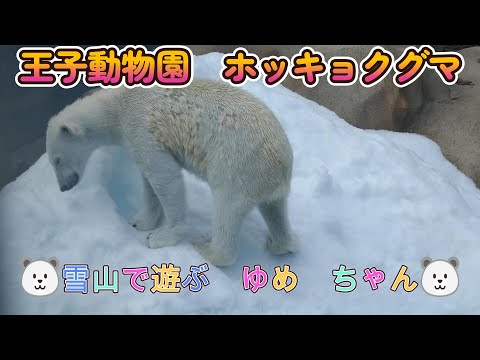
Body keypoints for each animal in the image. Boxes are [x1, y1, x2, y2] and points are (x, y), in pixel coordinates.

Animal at [46, 79, 300, 264]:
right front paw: (140, 221)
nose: (63, 187)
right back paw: (280, 244)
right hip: (264, 179)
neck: (117, 107)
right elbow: (148, 179)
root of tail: (282, 161)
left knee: (227, 208)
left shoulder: (141, 128)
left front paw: (159, 237)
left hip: (238, 165)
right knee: (275, 210)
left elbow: (165, 176)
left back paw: (206, 248)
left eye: (57, 159)